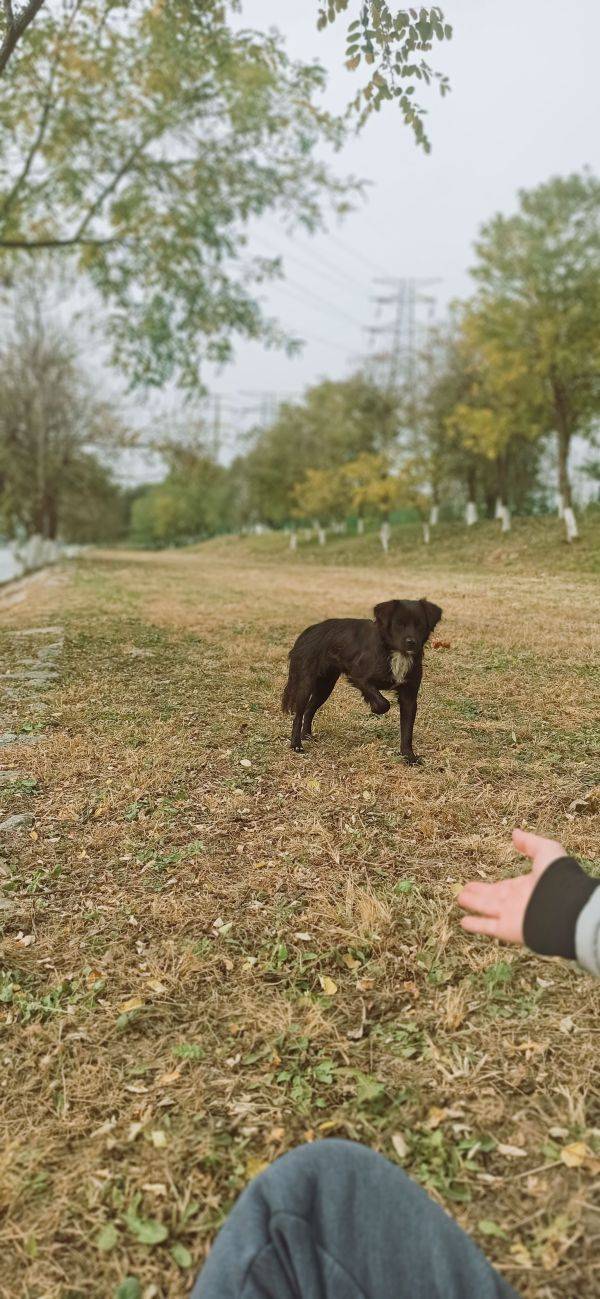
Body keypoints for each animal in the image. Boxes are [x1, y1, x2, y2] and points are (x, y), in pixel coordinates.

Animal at [281, 597, 441, 758]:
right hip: (305, 684)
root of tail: (307, 631)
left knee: (309, 710)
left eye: (420, 625)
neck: (395, 653)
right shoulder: (359, 677)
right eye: (399, 624)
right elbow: (384, 703)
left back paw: (306, 736)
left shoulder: (409, 695)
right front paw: (375, 708)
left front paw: (408, 756)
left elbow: (407, 729)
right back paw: (296, 745)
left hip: (325, 686)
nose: (411, 642)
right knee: (298, 715)